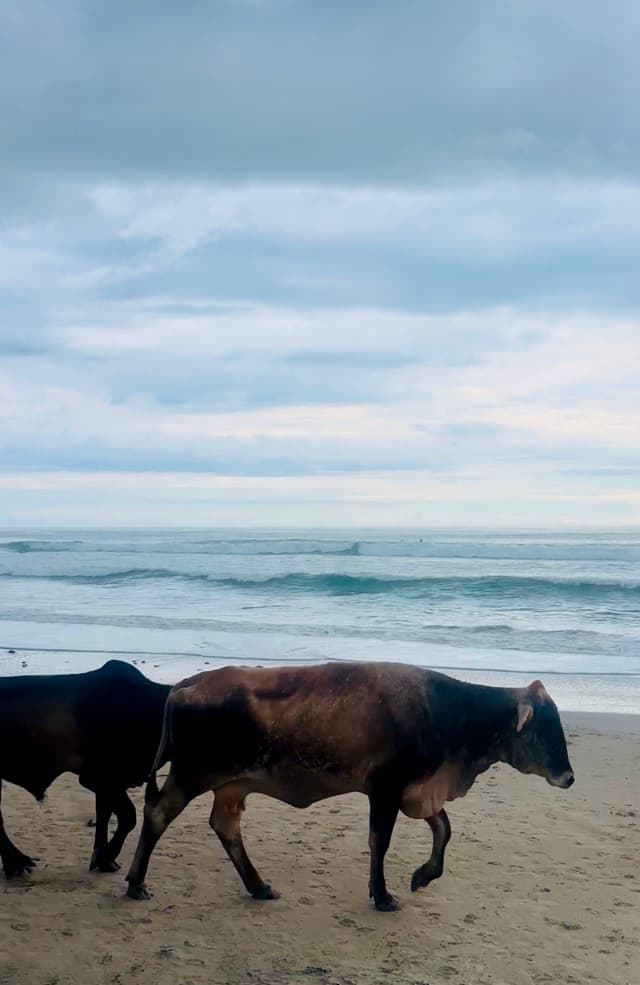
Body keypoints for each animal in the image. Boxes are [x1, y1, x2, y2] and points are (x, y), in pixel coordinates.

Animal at [0, 659, 170, 878]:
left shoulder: (111, 784)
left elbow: (104, 815)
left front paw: (102, 858)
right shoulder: (98, 778)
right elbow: (128, 816)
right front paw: (106, 856)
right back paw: (17, 863)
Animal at [125, 662, 574, 911]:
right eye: (546, 727)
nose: (569, 777)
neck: (449, 712)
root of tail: (187, 684)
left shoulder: (417, 790)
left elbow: (444, 830)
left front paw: (424, 875)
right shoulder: (386, 788)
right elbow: (381, 841)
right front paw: (383, 895)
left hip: (232, 786)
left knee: (225, 827)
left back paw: (259, 886)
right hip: (191, 774)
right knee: (158, 813)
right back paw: (135, 883)